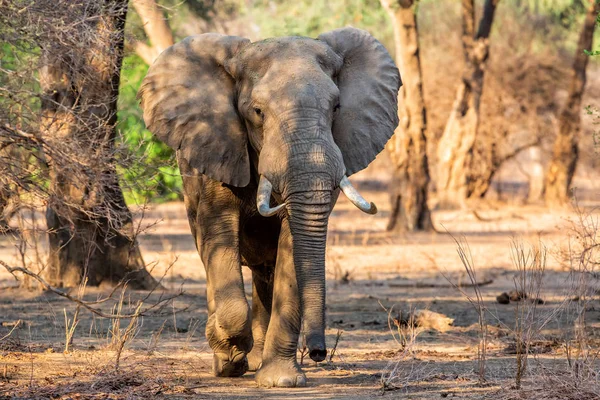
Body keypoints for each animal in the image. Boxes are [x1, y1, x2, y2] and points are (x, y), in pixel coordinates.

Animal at [138, 25, 400, 388]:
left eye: (336, 108)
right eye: (258, 112)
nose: (318, 353)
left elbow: (293, 247)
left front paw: (280, 380)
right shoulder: (218, 148)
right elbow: (219, 231)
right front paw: (230, 357)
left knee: (267, 271)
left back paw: (258, 358)